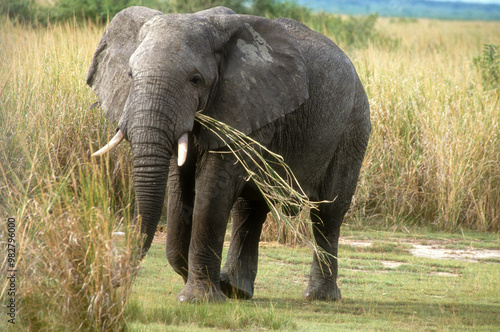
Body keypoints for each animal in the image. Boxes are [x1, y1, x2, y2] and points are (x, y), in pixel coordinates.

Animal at [87, 5, 372, 302]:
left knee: (328, 212)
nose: (111, 282)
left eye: (196, 80)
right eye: (130, 75)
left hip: (353, 127)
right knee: (251, 208)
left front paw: (197, 299)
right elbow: (179, 186)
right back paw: (235, 289)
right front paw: (199, 283)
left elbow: (213, 189)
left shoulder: (246, 103)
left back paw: (318, 296)